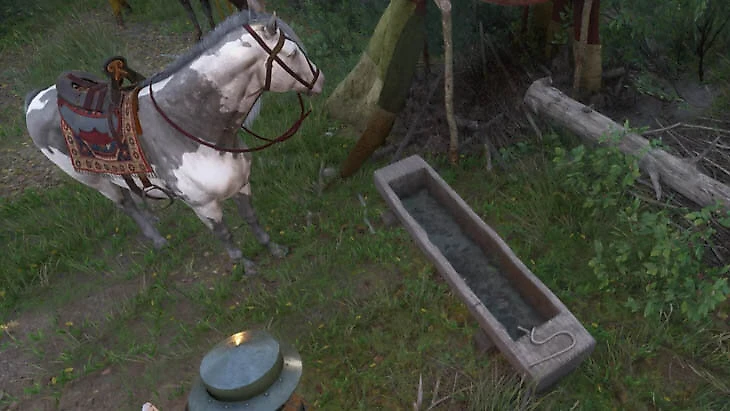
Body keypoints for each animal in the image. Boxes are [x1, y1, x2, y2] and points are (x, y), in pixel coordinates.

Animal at [24, 12, 324, 274]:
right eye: (292, 53)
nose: (319, 78)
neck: (191, 123)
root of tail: (35, 99)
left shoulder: (241, 184)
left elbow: (252, 219)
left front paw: (274, 248)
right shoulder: (204, 205)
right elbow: (225, 235)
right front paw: (247, 266)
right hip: (96, 181)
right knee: (125, 204)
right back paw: (157, 240)